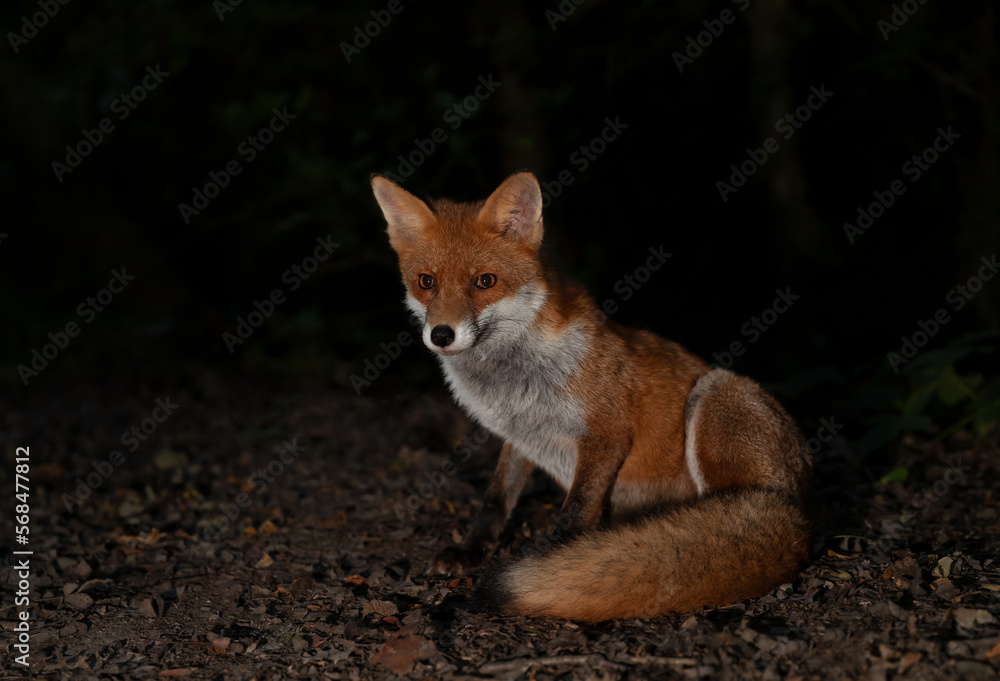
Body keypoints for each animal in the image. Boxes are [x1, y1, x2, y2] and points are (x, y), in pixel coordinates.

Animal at [370, 171, 813, 621]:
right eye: (426, 282)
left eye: (485, 281)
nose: (441, 335)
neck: (513, 380)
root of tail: (799, 517)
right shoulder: (519, 435)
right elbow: (496, 499)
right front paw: (470, 551)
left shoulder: (607, 431)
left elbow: (576, 509)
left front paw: (554, 562)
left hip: (716, 394)